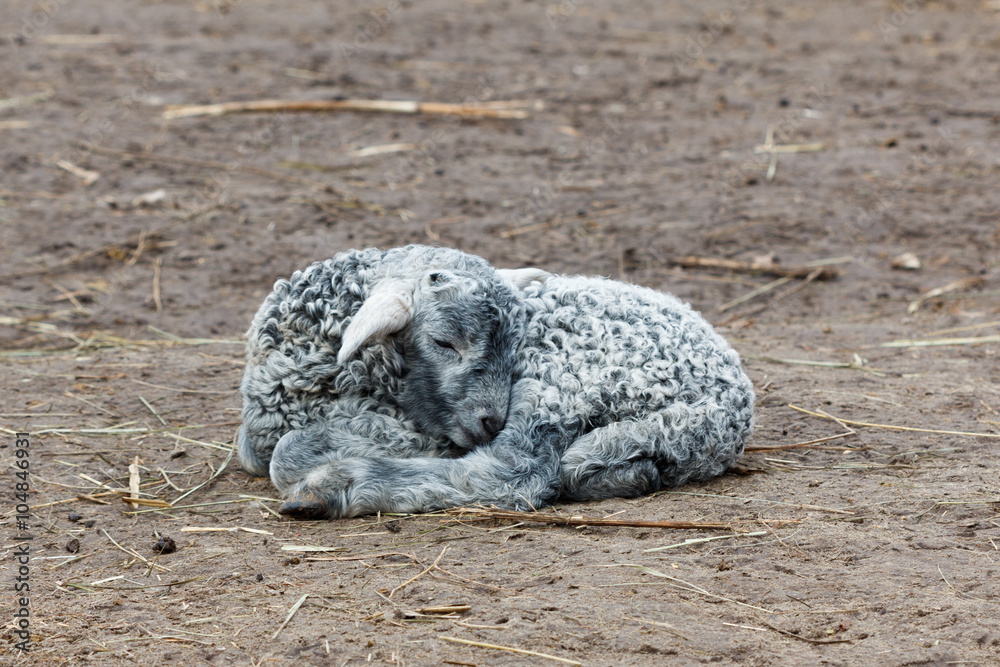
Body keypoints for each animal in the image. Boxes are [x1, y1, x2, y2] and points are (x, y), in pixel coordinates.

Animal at [268, 262, 755, 520]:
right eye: (443, 343)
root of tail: (726, 414)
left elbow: (286, 450)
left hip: (565, 374)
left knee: (514, 473)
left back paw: (331, 487)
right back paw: (634, 475)